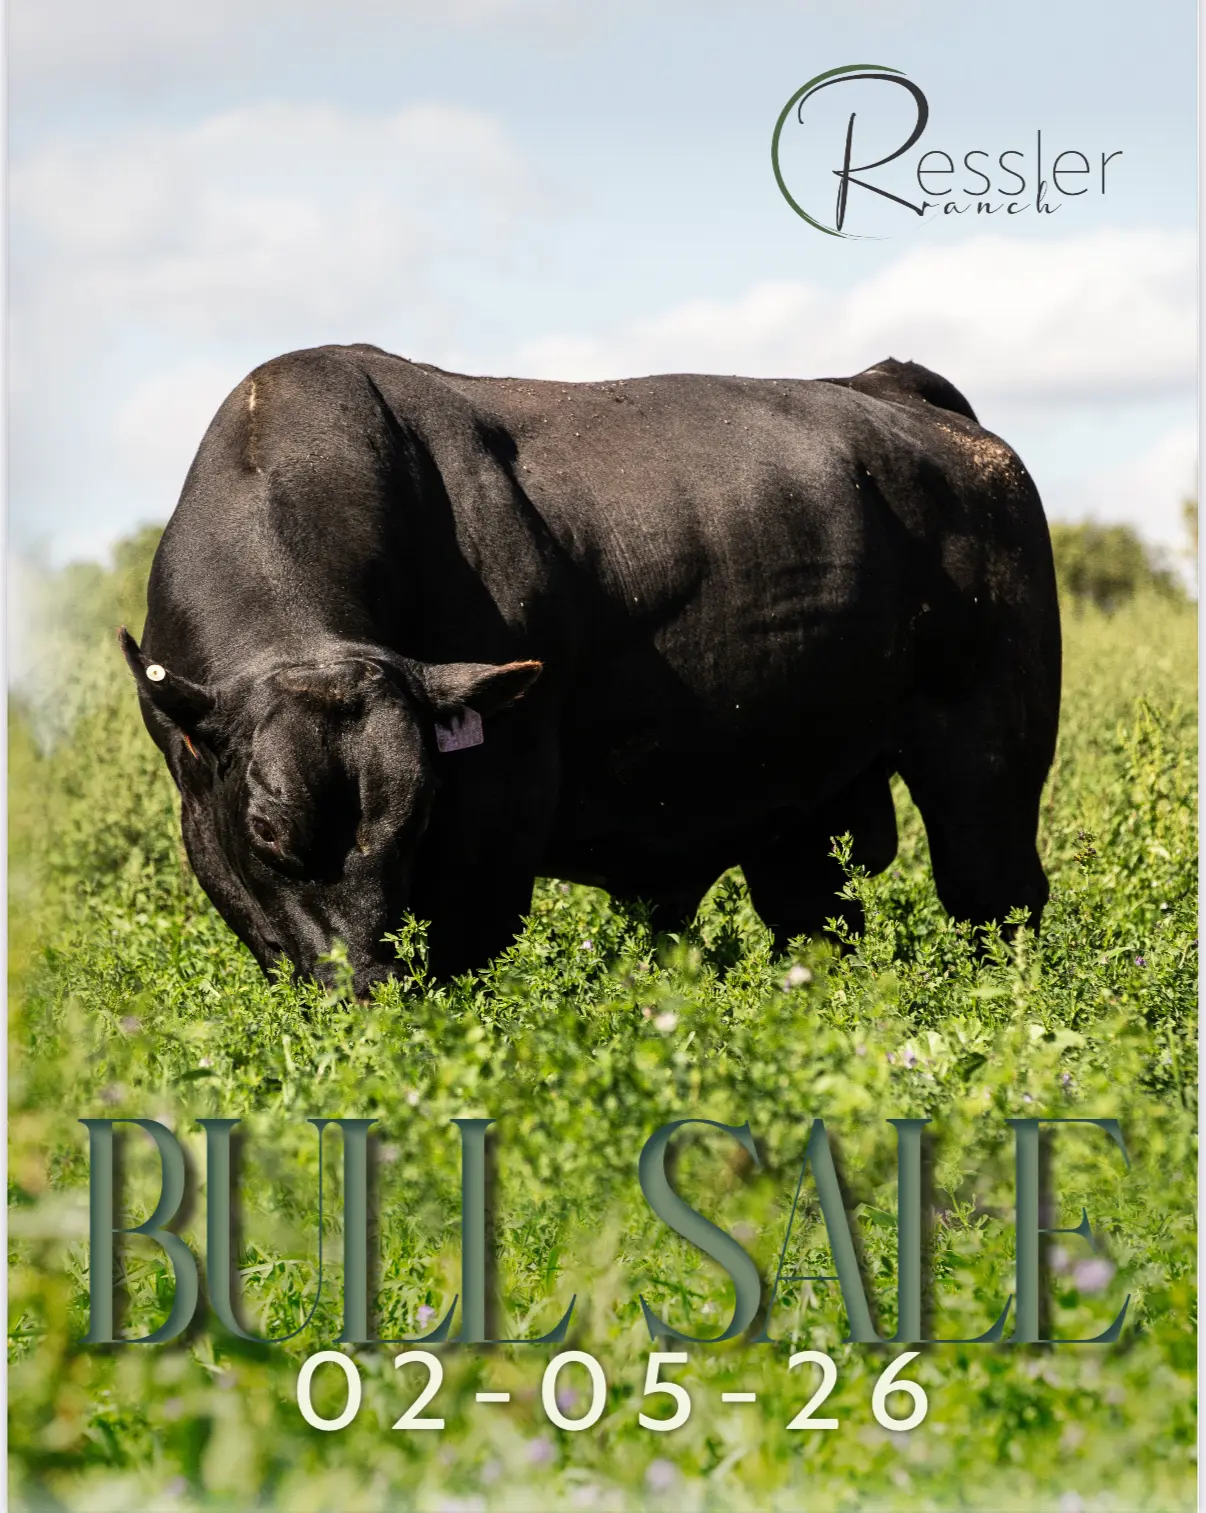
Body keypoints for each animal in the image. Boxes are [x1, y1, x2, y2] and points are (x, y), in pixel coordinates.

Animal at [120, 344, 1061, 994]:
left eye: (418, 819)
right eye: (268, 829)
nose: (367, 988)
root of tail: (888, 384)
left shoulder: (498, 815)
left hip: (988, 766)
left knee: (997, 901)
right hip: (804, 806)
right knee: (815, 923)